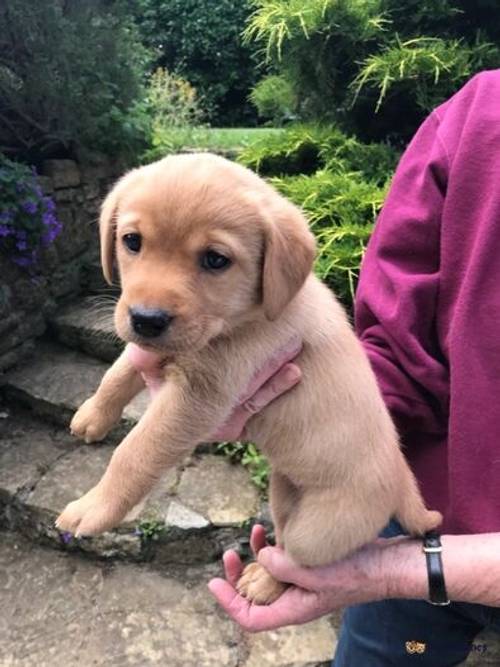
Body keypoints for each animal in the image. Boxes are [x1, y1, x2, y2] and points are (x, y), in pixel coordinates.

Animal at [55, 154, 442, 608]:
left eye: (215, 260)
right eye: (132, 241)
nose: (147, 319)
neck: (243, 318)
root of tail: (402, 478)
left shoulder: (201, 395)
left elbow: (135, 452)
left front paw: (93, 508)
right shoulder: (160, 350)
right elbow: (120, 370)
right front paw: (93, 415)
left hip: (322, 527)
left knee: (297, 559)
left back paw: (265, 581)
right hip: (285, 490)